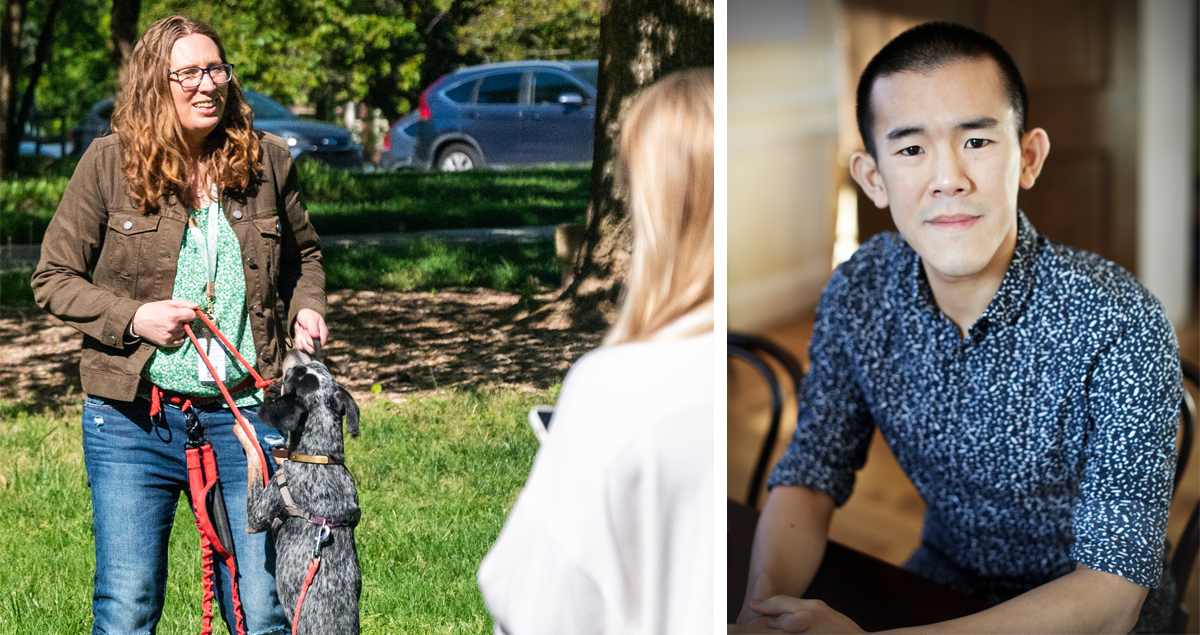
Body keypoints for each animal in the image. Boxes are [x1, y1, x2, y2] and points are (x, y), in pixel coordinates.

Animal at [248, 348, 360, 628]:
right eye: (319, 366)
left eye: (293, 373)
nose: (293, 349)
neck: (319, 455)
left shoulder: (259, 512)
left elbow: (253, 458)